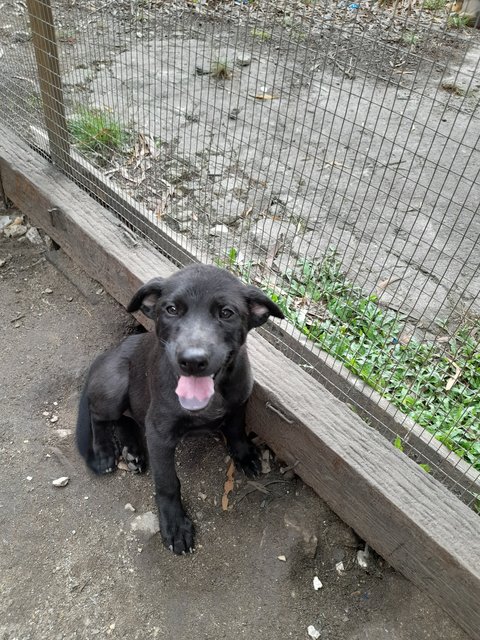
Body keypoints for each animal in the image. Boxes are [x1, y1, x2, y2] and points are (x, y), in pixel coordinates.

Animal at [76, 264, 284, 556]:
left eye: (226, 313)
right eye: (171, 309)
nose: (192, 361)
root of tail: (108, 353)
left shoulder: (239, 402)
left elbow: (236, 430)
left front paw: (244, 455)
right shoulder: (159, 434)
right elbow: (168, 483)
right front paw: (175, 526)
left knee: (128, 420)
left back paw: (133, 452)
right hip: (114, 385)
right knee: (100, 416)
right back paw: (105, 452)